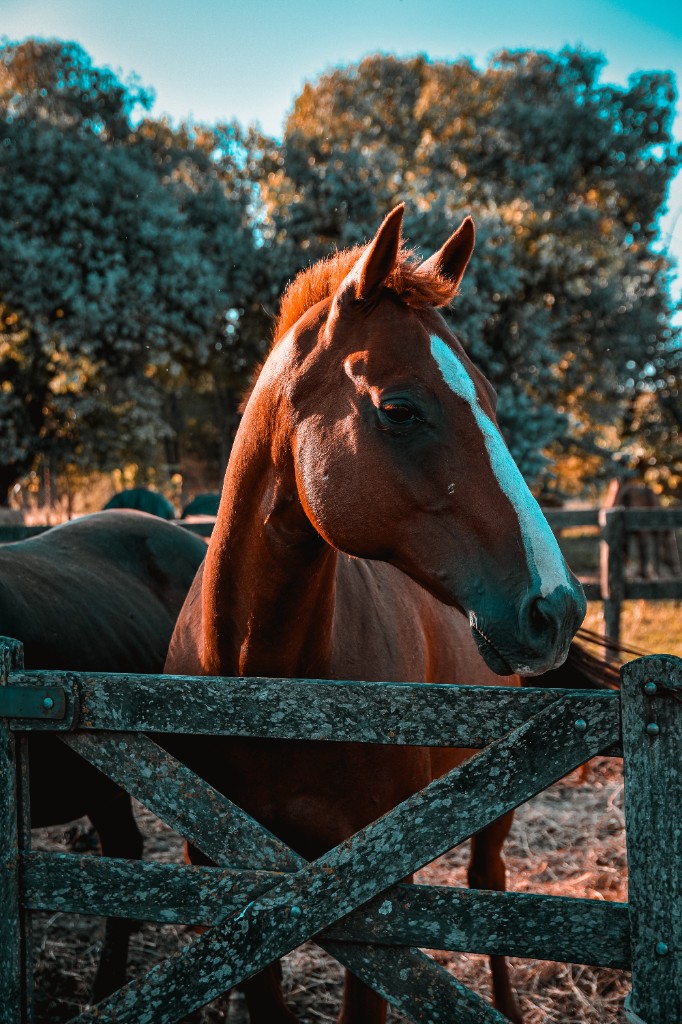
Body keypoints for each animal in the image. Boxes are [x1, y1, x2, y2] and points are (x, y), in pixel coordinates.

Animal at [165, 205, 586, 1024]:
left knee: (491, 888)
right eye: (400, 409)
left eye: (491, 400)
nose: (558, 607)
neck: (263, 691)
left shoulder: (372, 900)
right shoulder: (233, 886)